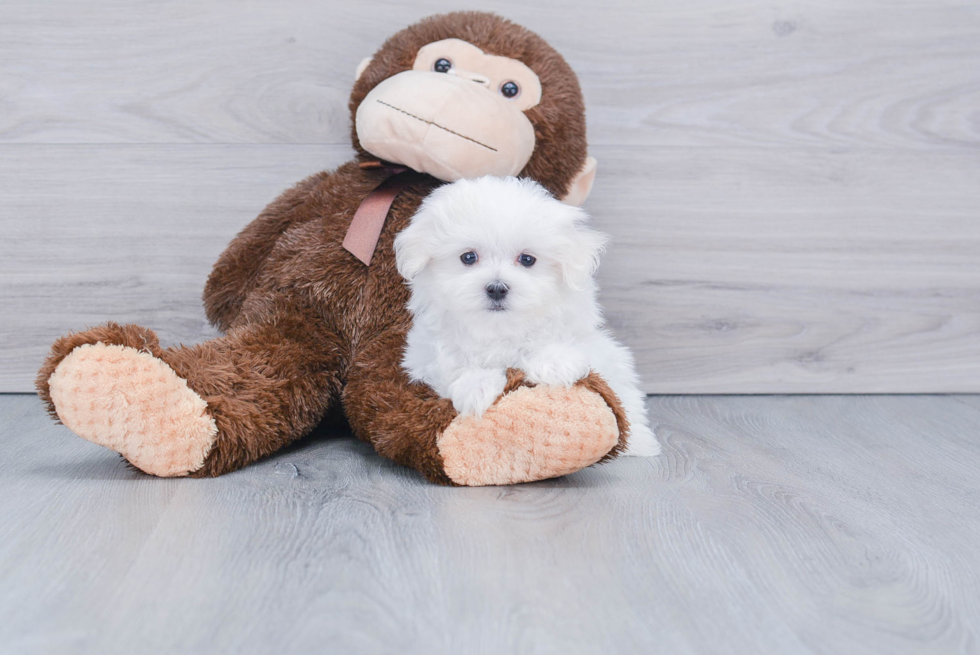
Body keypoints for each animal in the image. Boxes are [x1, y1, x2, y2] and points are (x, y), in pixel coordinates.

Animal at [394, 177, 664, 458]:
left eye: (527, 259)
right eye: (468, 257)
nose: (497, 288)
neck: (499, 328)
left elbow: (556, 343)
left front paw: (556, 363)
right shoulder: (424, 354)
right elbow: (451, 362)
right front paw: (476, 384)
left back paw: (638, 442)